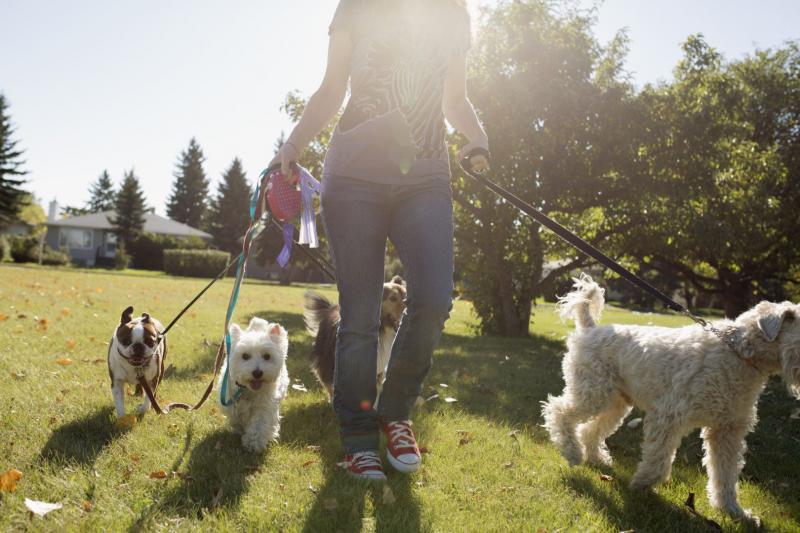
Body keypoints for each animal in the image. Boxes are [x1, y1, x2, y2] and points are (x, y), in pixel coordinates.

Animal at [219, 318, 290, 450]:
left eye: (267, 356)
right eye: (245, 356)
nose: (257, 373)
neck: (248, 389)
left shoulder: (265, 406)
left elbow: (259, 424)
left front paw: (253, 443)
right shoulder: (230, 402)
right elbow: (235, 418)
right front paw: (240, 429)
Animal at [540, 274, 796, 520]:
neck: (740, 353)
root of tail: (591, 328)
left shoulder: (726, 431)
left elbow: (725, 475)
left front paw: (733, 511)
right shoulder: (668, 417)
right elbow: (659, 460)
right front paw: (641, 484)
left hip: (616, 403)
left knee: (589, 430)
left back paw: (596, 458)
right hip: (592, 394)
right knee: (558, 411)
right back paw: (572, 453)